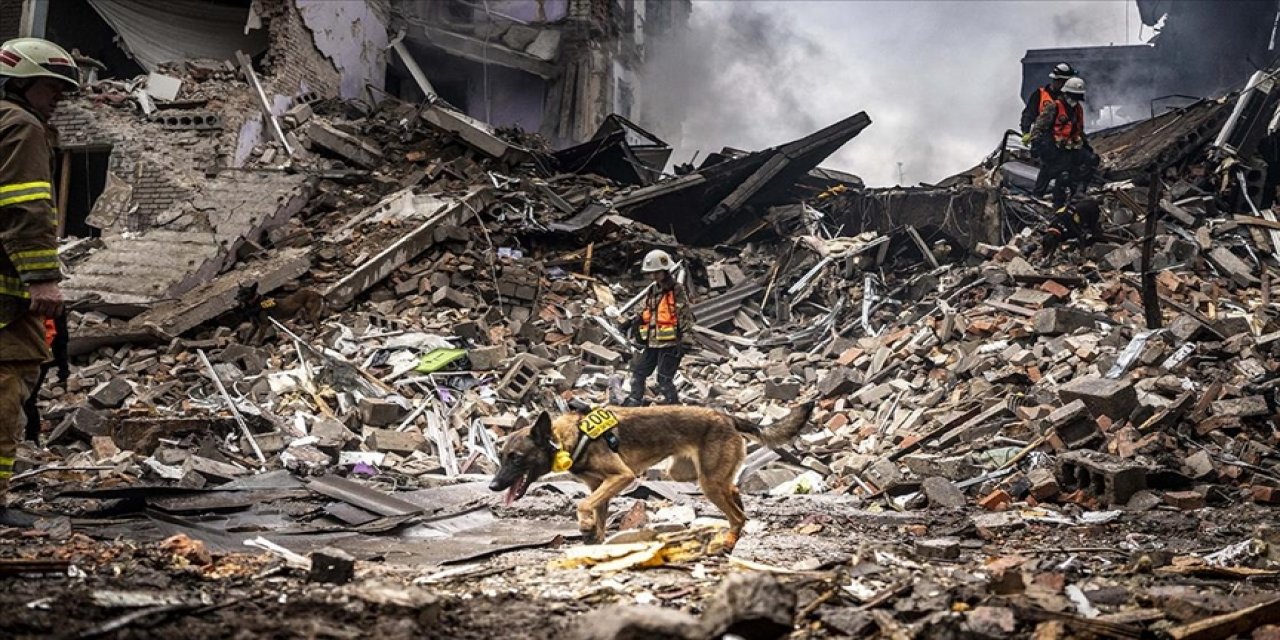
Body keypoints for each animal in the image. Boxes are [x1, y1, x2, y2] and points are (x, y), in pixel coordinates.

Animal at [483, 404, 814, 550]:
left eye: (516, 458)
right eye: (501, 457)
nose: (493, 485)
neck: (564, 439)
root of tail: (727, 417)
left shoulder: (622, 476)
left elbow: (583, 504)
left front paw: (585, 525)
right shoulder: (601, 485)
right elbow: (597, 509)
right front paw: (595, 537)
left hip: (706, 483)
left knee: (737, 515)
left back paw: (729, 538)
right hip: (685, 473)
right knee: (733, 490)